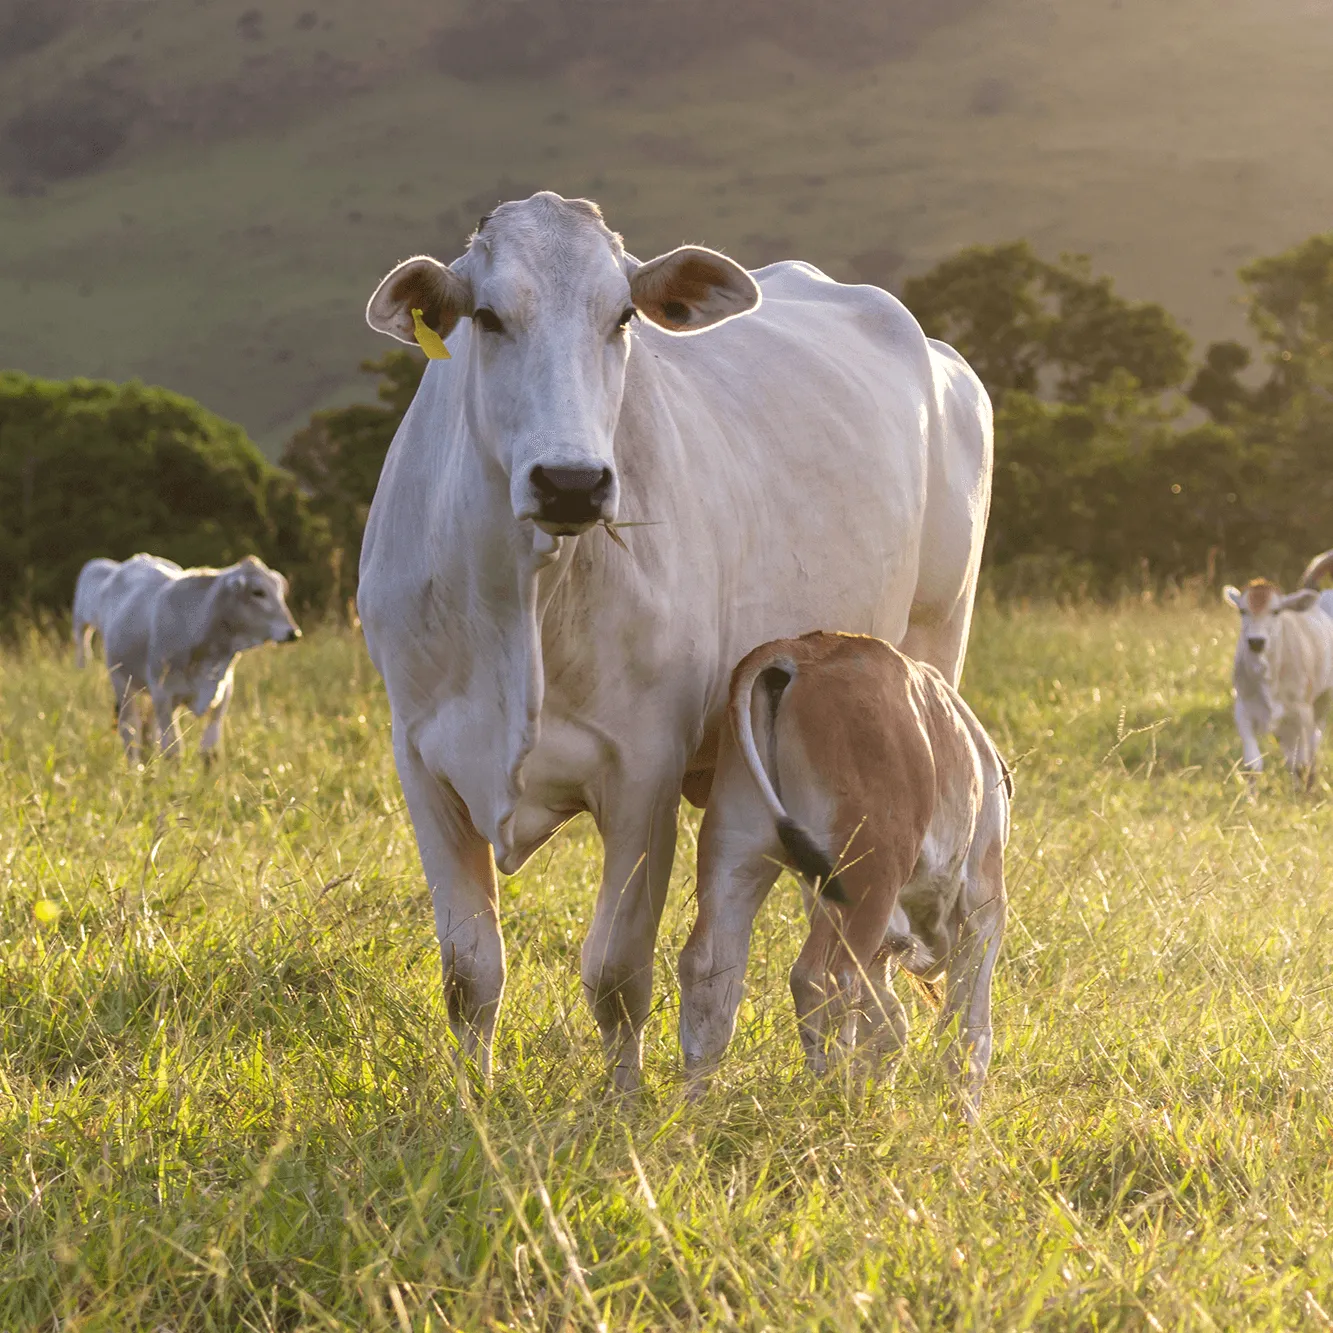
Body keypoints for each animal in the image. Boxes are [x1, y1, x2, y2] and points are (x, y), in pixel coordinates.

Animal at [74, 553, 301, 762]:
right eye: (258, 592)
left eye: (280, 592)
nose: (293, 633)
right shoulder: (163, 694)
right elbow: (173, 751)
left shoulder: (224, 692)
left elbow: (209, 752)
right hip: (122, 682)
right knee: (131, 732)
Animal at [357, 191, 993, 1089]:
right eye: (486, 316)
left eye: (621, 316)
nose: (571, 482)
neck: (521, 602)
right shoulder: (422, 762)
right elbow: (470, 971)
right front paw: (469, 1100)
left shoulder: (641, 772)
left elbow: (616, 972)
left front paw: (621, 1101)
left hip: (936, 650)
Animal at [677, 632, 1010, 1121]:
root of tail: (800, 651)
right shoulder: (986, 909)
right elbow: (968, 1033)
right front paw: (964, 1122)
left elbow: (889, 1025)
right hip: (871, 873)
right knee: (821, 978)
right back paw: (834, 1103)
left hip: (736, 851)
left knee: (710, 969)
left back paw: (693, 1110)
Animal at [1224, 547, 1333, 784]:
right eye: (1242, 611)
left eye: (1275, 611)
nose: (1256, 641)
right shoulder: (1243, 709)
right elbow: (1253, 765)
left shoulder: (1302, 711)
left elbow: (1302, 763)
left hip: (1322, 700)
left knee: (1313, 743)